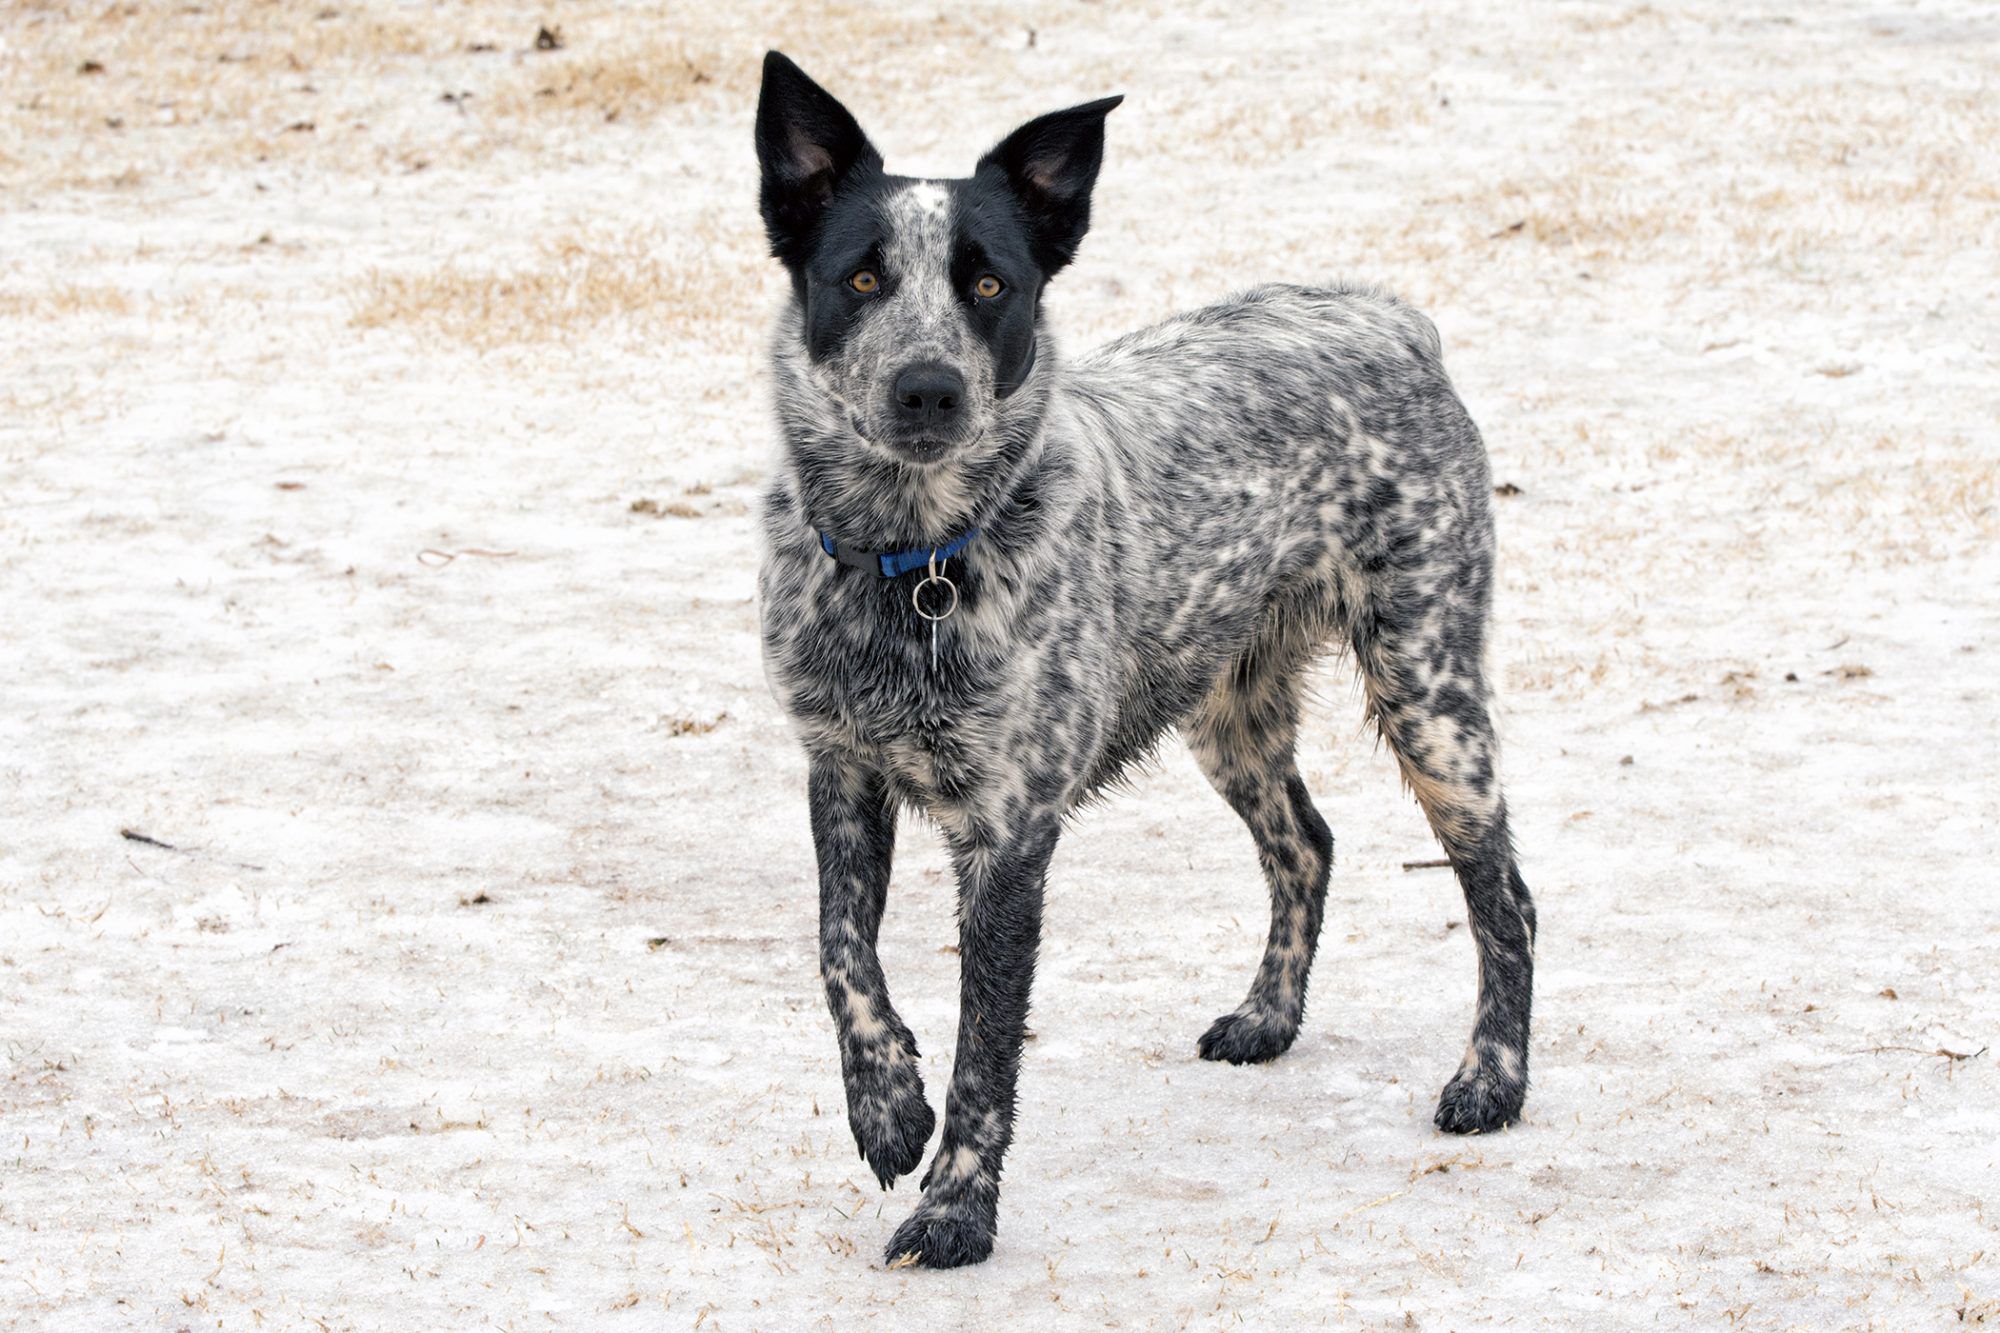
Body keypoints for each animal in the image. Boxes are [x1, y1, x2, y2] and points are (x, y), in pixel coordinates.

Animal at [756, 49, 1536, 1256]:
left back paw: (1490, 1081)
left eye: (991, 287)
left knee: (1504, 896)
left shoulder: (1010, 831)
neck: (912, 561)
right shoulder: (837, 764)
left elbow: (987, 1049)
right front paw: (884, 1106)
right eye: (861, 278)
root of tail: (1388, 316)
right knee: (1306, 844)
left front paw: (955, 1208)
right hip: (1228, 709)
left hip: (1429, 694)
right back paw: (1268, 1017)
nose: (928, 387)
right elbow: (842, 950)